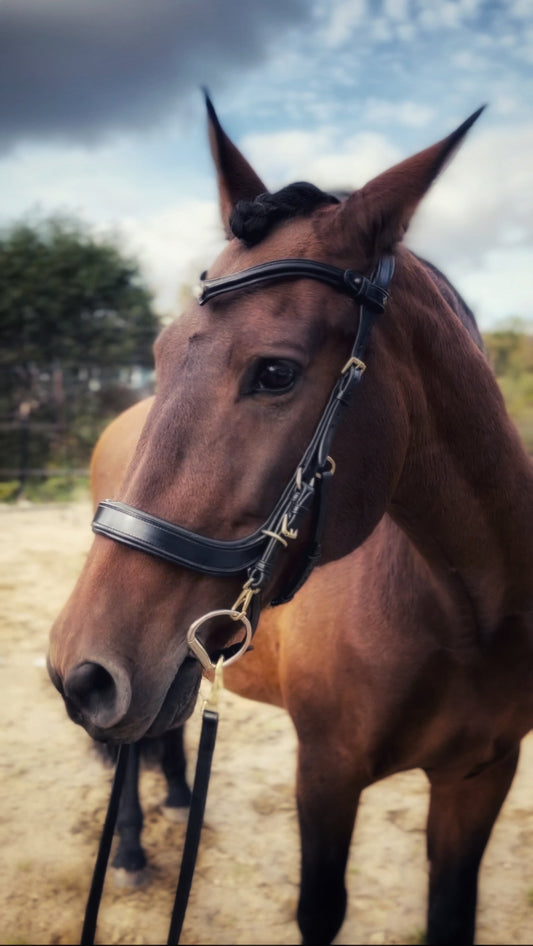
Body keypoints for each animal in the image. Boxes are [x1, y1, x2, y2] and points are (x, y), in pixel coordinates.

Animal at [48, 94, 533, 946]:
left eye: (274, 372)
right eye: (162, 352)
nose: (76, 672)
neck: (465, 615)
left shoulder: (481, 775)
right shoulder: (326, 772)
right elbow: (319, 912)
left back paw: (182, 797)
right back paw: (133, 848)